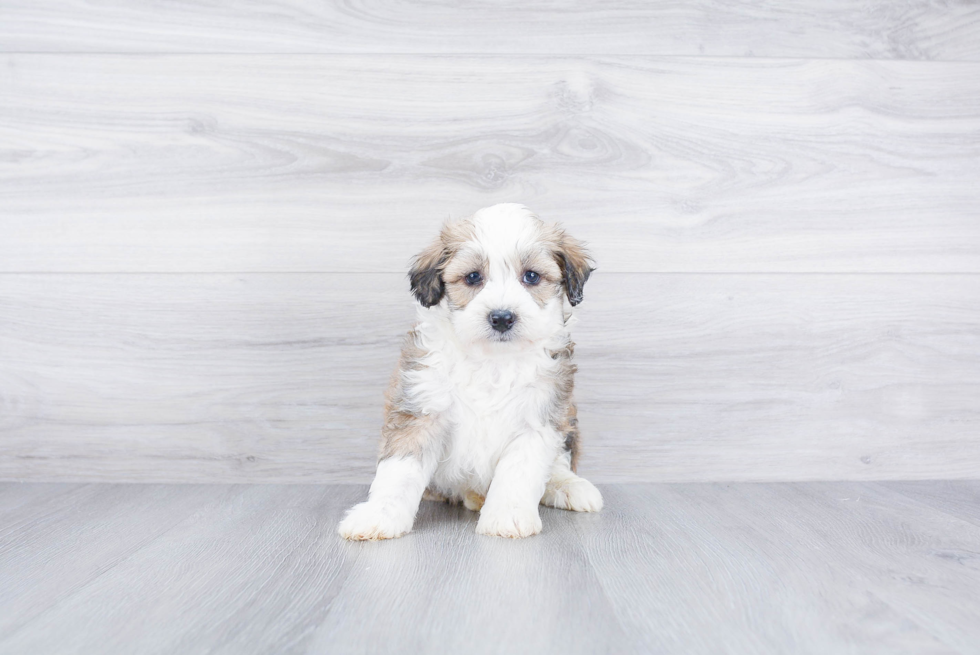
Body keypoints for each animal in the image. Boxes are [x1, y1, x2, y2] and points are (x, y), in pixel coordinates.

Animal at [338, 204, 604, 540]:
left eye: (531, 276)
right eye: (473, 277)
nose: (502, 317)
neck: (491, 360)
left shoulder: (539, 416)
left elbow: (519, 471)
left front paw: (507, 515)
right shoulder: (421, 406)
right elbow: (400, 470)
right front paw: (379, 515)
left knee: (559, 464)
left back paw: (570, 486)